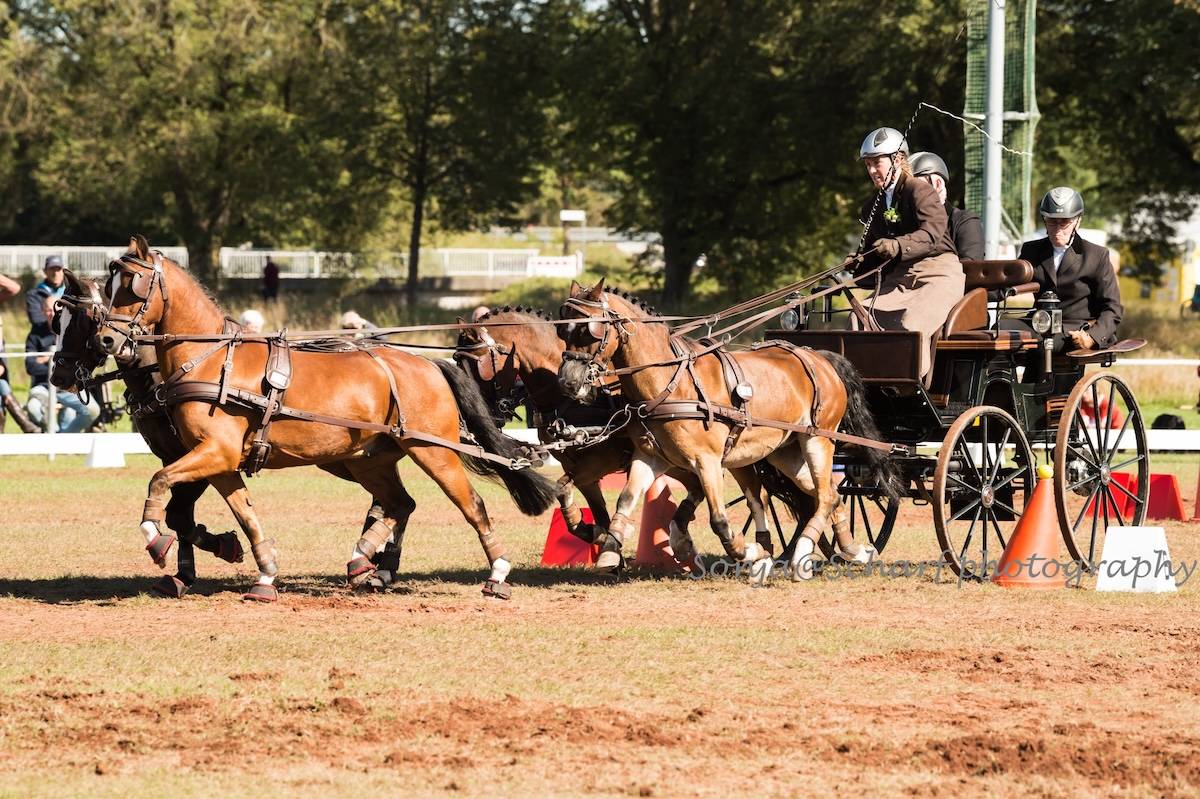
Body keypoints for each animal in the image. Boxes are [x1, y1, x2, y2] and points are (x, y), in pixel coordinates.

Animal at [91, 235, 554, 597]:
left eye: (131, 286)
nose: (106, 340)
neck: (212, 360)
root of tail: (428, 364)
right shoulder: (220, 462)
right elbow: (244, 515)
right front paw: (264, 573)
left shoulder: (215, 453)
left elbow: (159, 481)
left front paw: (156, 541)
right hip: (368, 459)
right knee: (399, 504)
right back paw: (364, 561)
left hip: (432, 450)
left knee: (470, 504)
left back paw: (497, 574)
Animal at [453, 303, 705, 566]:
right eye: (457, 362)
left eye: (476, 366)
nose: (470, 417)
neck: (572, 399)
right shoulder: (579, 471)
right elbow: (595, 512)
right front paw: (605, 545)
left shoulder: (601, 461)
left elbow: (564, 489)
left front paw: (607, 540)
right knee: (697, 485)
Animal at [556, 279, 897, 578]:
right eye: (563, 330)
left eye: (590, 330)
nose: (568, 382)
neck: (671, 382)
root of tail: (821, 358)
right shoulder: (650, 457)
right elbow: (626, 499)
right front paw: (609, 550)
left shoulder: (706, 461)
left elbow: (719, 519)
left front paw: (752, 553)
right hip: (786, 453)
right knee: (829, 494)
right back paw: (854, 551)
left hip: (818, 441)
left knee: (824, 495)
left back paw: (802, 554)